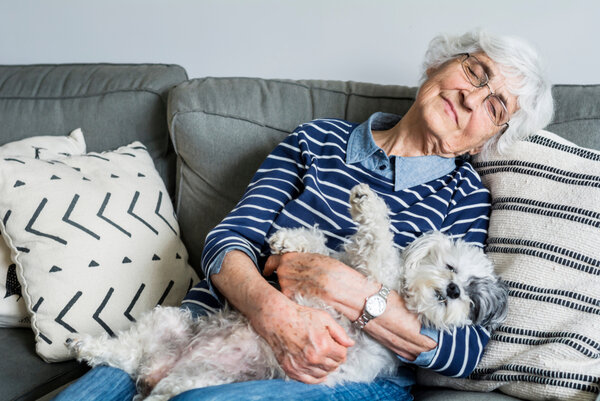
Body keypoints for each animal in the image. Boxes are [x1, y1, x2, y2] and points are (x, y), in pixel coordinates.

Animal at [67, 183, 506, 398]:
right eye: (451, 268)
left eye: (472, 296)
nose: (453, 291)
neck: (398, 285)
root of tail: (160, 369)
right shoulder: (351, 265)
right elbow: (321, 245)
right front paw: (287, 241)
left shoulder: (373, 275)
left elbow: (378, 240)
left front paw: (367, 207)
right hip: (169, 322)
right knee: (125, 350)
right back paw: (86, 345)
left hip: (195, 383)